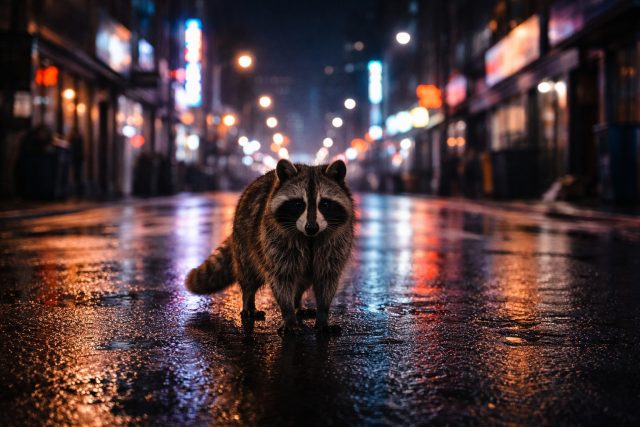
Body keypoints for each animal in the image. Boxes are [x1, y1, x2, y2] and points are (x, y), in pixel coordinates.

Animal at [185, 159, 355, 334]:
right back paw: (249, 300)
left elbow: (327, 278)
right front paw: (288, 315)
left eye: (325, 204)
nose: (312, 227)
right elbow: (282, 278)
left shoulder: (336, 245)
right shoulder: (274, 241)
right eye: (299, 204)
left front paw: (323, 315)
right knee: (249, 274)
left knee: (302, 281)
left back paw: (297, 303)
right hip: (245, 240)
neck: (310, 238)